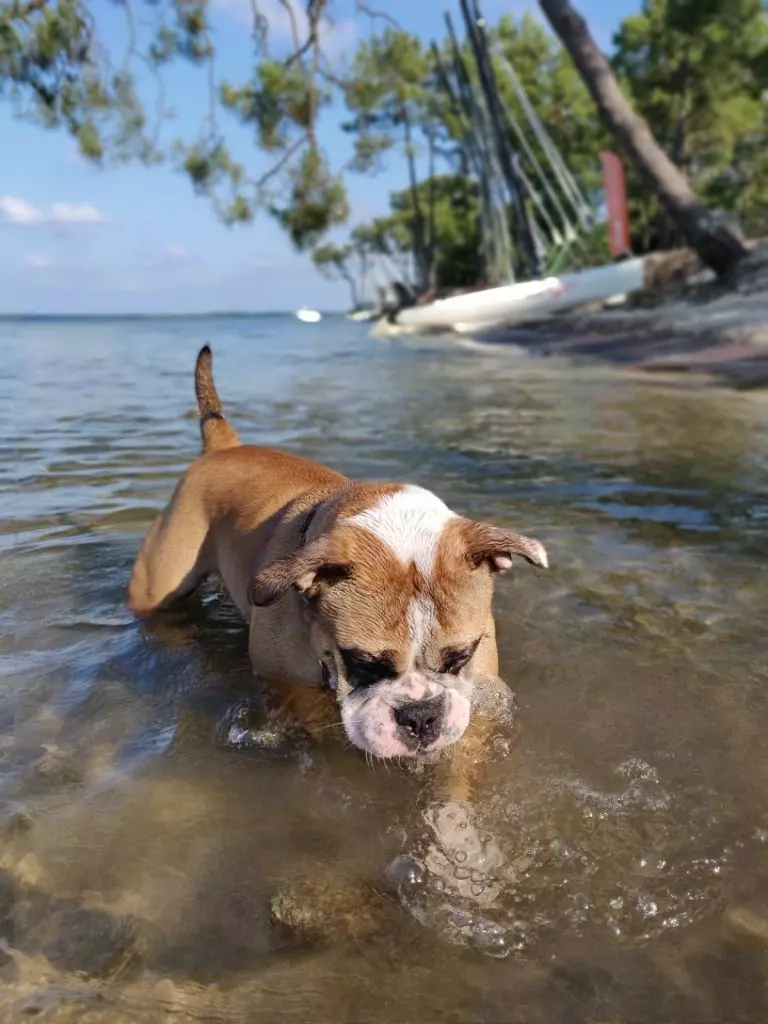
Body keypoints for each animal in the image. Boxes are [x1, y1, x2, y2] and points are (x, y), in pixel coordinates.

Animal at [128, 348, 548, 765]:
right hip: (157, 587)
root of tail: (224, 447)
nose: (420, 715)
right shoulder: (288, 683)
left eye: (461, 656)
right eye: (363, 662)